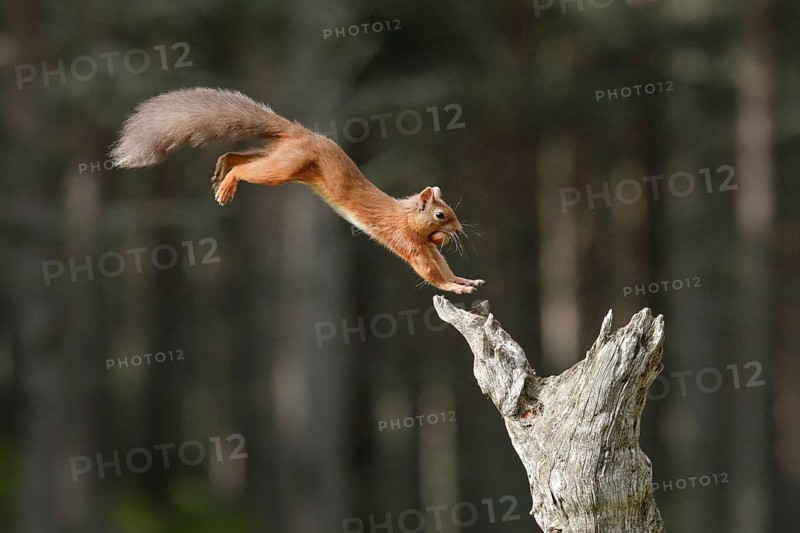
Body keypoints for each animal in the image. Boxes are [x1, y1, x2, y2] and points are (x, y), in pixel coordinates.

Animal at [110, 87, 484, 294]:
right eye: (441, 214)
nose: (460, 230)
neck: (406, 215)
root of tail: (300, 132)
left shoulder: (426, 244)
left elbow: (441, 263)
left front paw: (465, 281)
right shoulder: (406, 240)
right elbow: (427, 269)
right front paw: (453, 286)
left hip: (284, 159)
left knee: (239, 156)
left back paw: (221, 169)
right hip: (285, 167)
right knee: (247, 169)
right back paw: (228, 185)